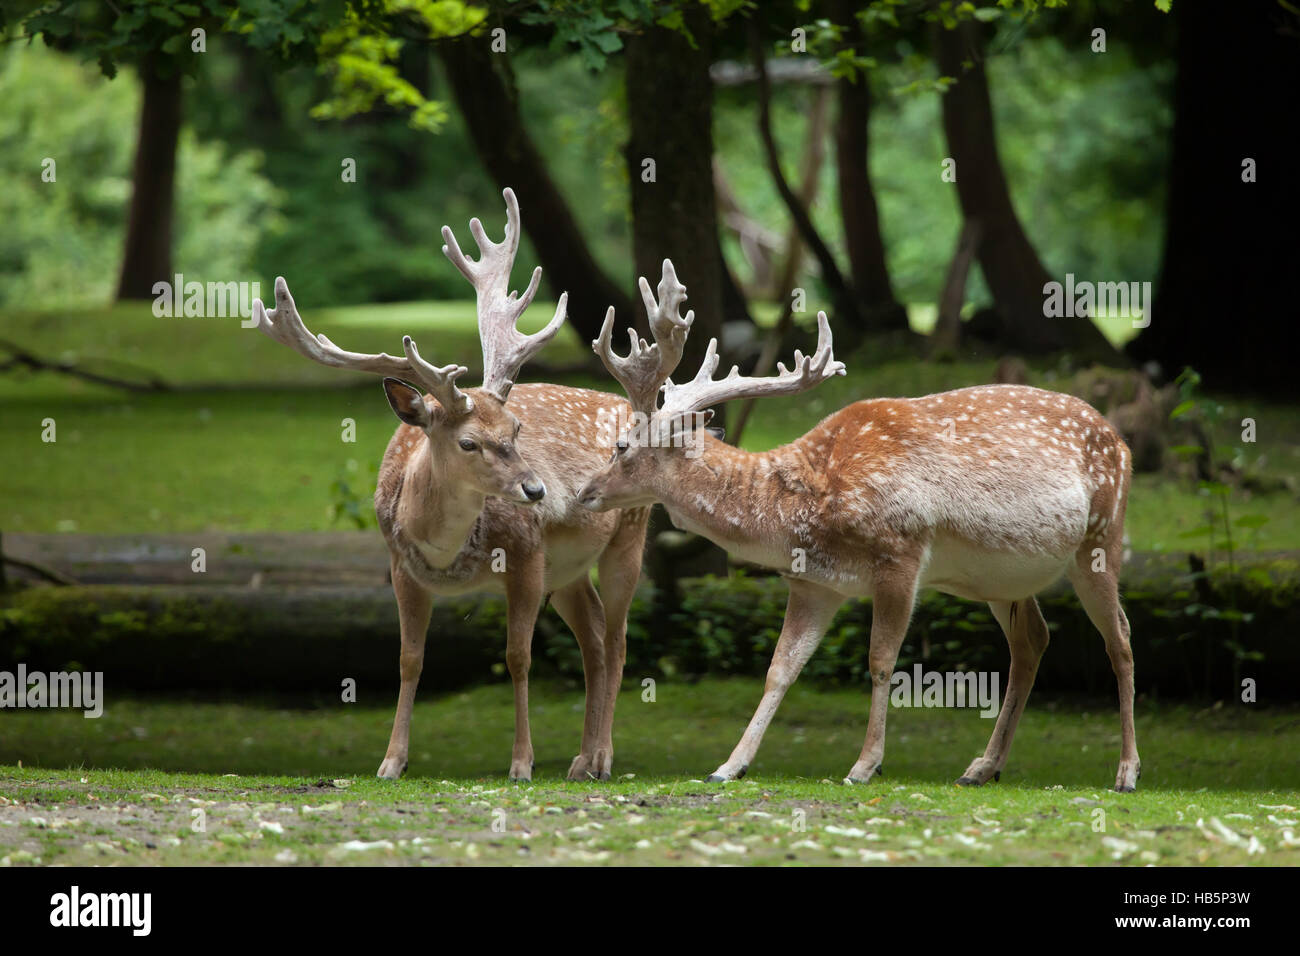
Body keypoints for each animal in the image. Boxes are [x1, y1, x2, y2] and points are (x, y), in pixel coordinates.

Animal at [252, 188, 650, 785]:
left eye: (516, 428)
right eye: (468, 442)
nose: (539, 492)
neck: (447, 555)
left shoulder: (526, 554)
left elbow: (517, 657)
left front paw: (521, 762)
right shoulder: (400, 567)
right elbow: (409, 660)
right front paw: (391, 761)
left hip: (630, 530)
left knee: (619, 637)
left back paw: (601, 757)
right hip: (568, 569)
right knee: (596, 636)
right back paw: (580, 760)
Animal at [579, 260, 1138, 790]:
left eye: (621, 446)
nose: (585, 492)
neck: (807, 513)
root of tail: (1122, 441)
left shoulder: (901, 554)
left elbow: (880, 661)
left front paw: (865, 765)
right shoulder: (814, 583)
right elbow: (779, 669)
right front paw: (729, 766)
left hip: (1101, 534)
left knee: (1121, 639)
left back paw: (1126, 772)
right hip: (1002, 578)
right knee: (1033, 640)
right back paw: (981, 768)